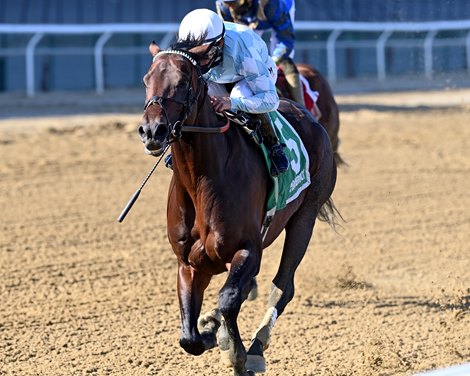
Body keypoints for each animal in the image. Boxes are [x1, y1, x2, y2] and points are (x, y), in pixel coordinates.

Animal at [138, 39, 340, 374]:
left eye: (183, 82)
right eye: (146, 79)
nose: (152, 131)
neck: (202, 180)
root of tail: (308, 117)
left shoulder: (248, 249)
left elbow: (230, 298)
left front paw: (236, 351)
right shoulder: (189, 262)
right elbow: (189, 336)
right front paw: (211, 330)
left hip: (306, 215)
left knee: (283, 286)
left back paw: (257, 345)